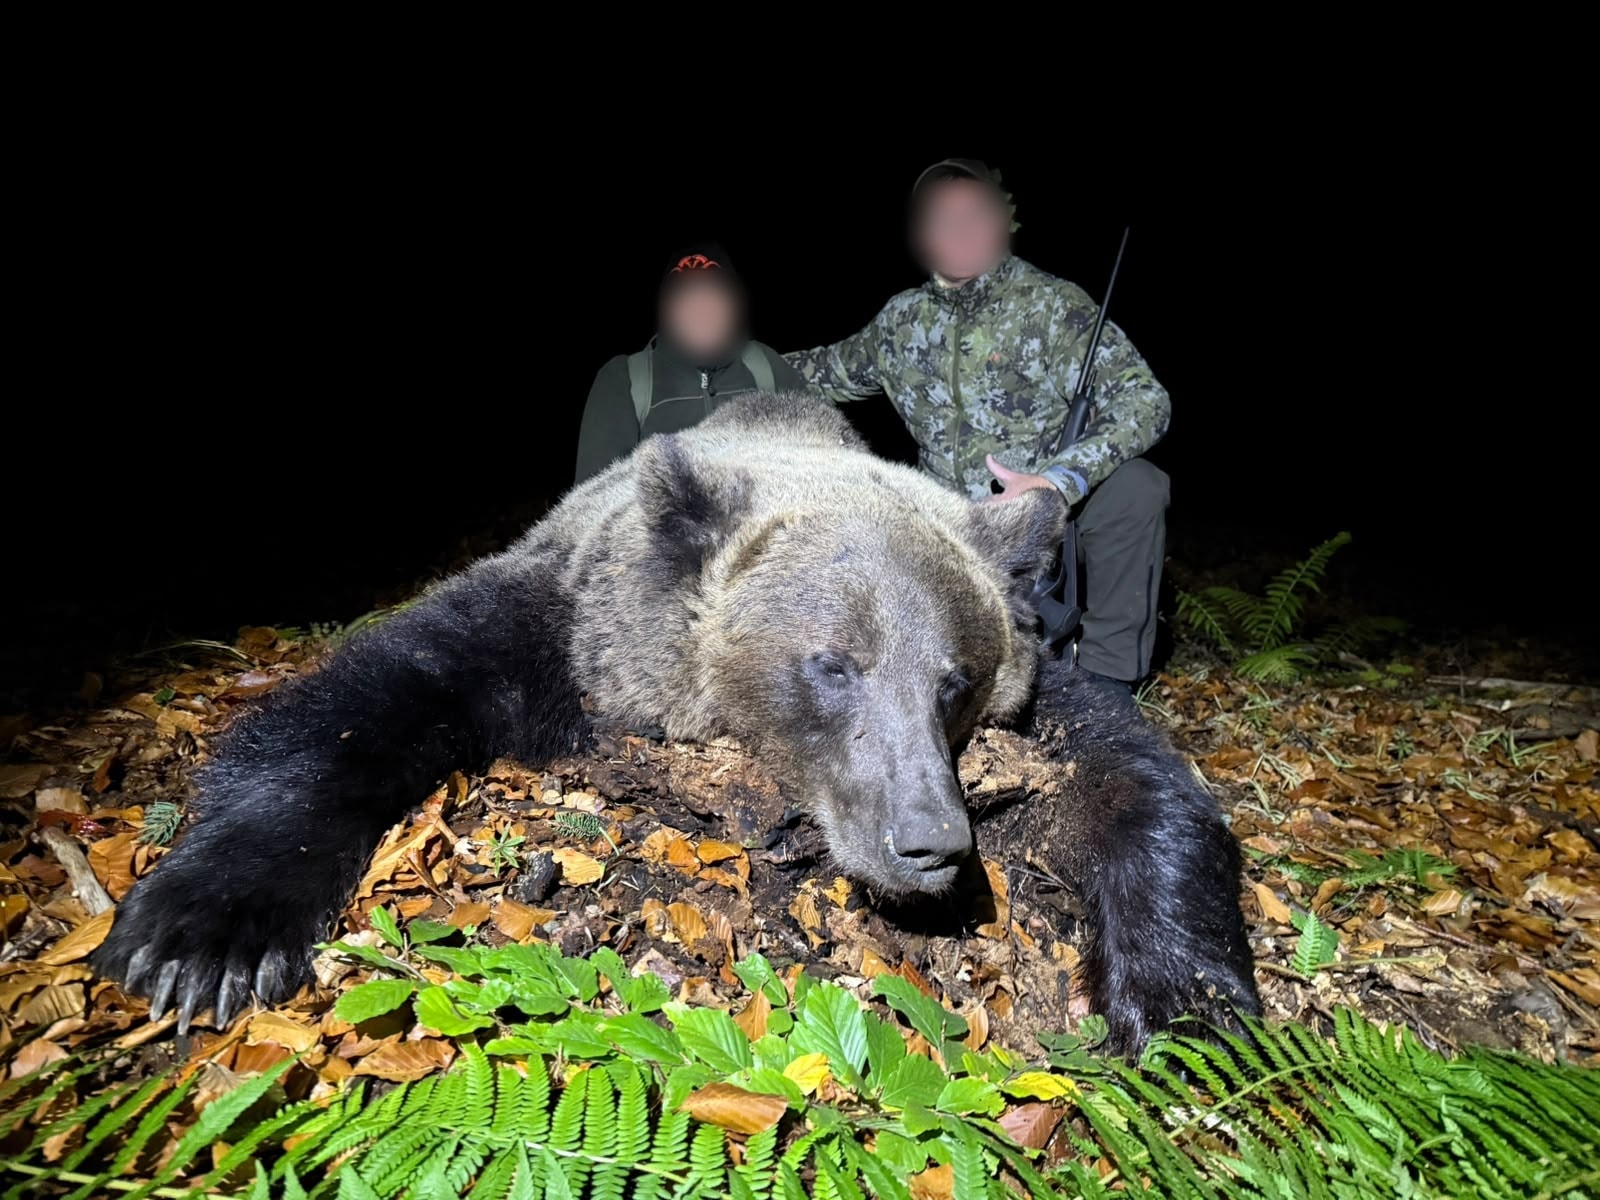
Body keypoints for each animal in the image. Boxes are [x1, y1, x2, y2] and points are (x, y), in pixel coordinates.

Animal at [92, 392, 1260, 1055]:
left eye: (955, 680)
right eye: (832, 666)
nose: (929, 840)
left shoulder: (1045, 694)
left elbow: (1137, 781)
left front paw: (1188, 1004)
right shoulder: (559, 623)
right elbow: (361, 703)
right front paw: (203, 939)